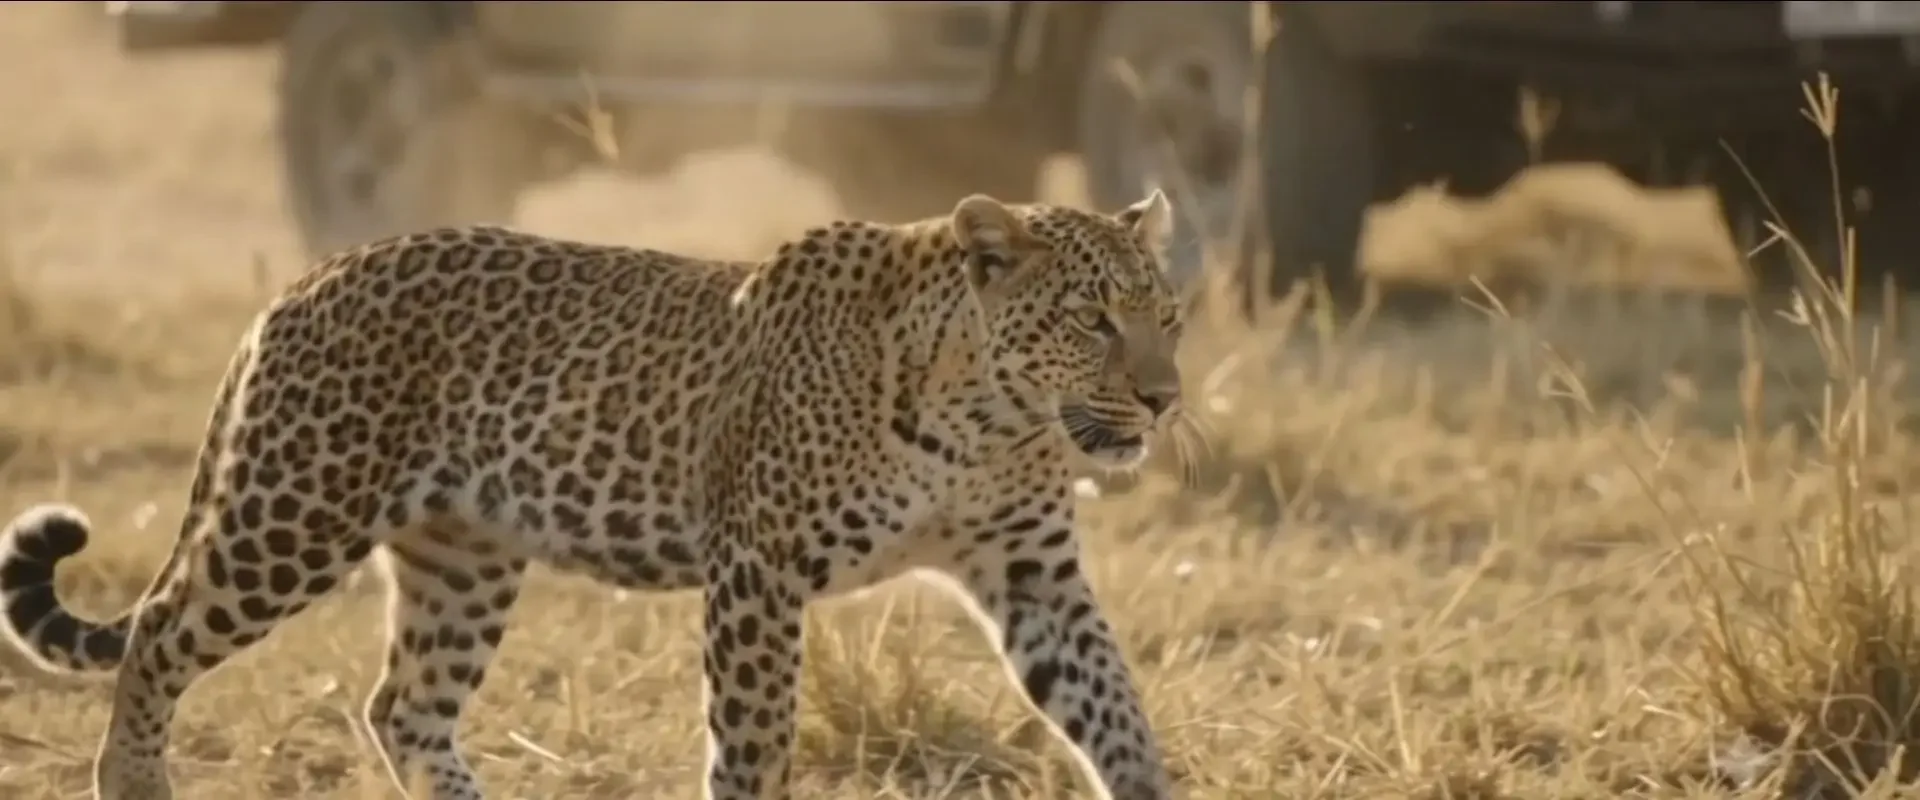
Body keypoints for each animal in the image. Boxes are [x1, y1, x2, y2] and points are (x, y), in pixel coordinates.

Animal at [0, 188, 1189, 800]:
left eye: (1168, 315)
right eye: (1092, 319)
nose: (1166, 398)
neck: (987, 419)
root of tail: (301, 282)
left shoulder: (1032, 574)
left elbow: (1115, 710)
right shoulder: (757, 568)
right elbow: (753, 740)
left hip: (463, 555)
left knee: (403, 705)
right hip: (296, 509)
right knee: (161, 633)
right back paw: (132, 781)